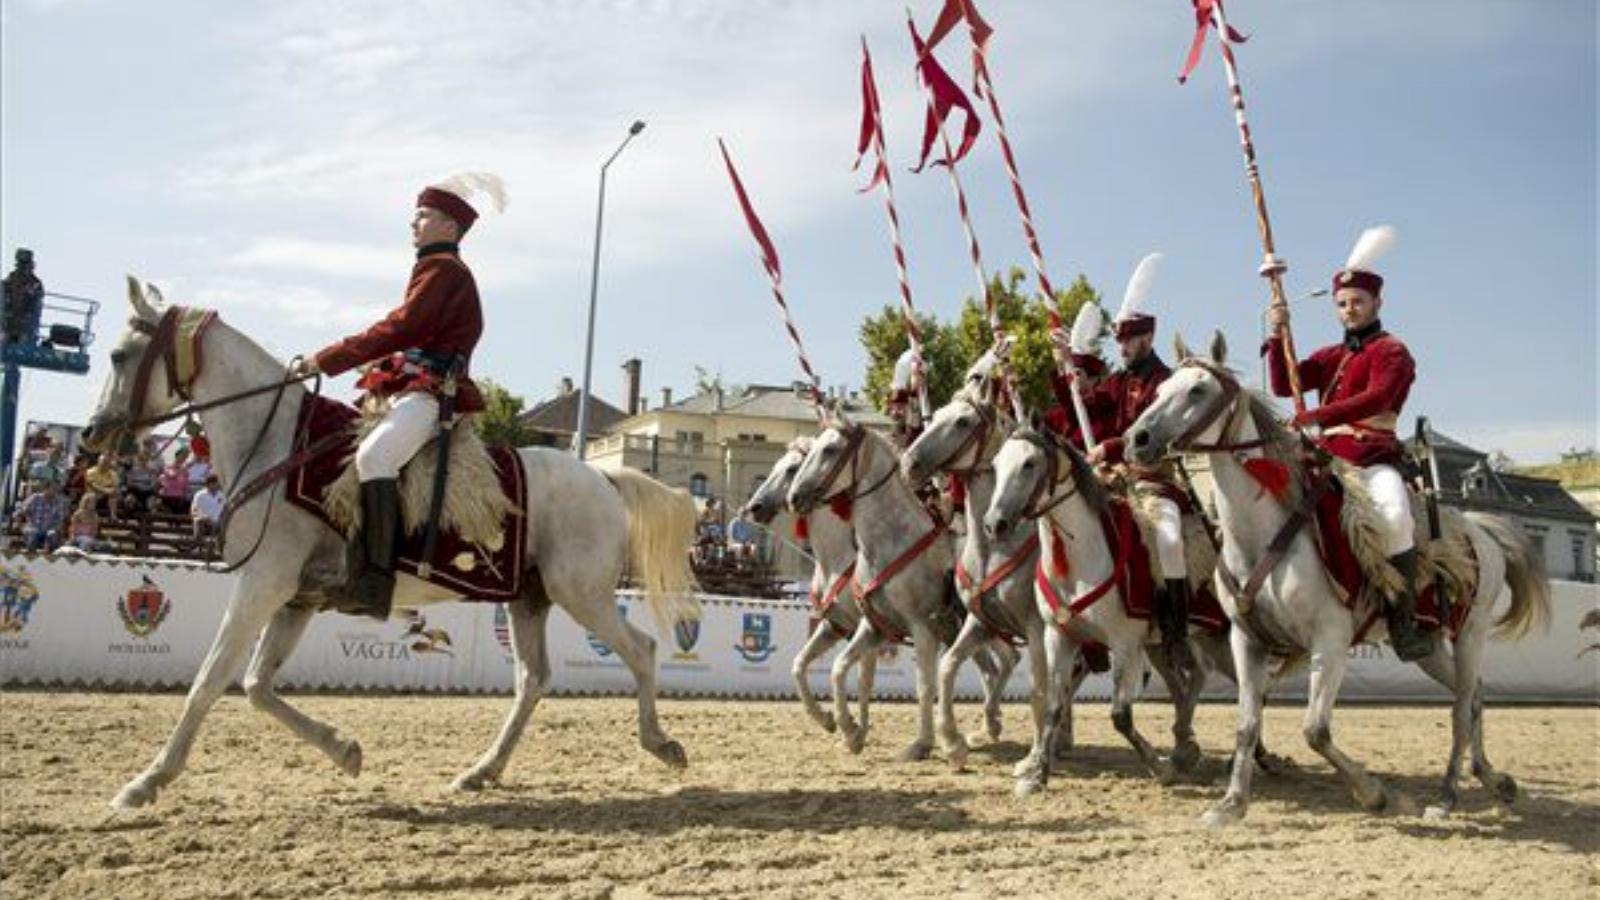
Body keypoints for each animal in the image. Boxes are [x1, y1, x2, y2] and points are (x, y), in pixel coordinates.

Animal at [79, 280, 694, 807]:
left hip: (581, 594)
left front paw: (146, 782)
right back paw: (482, 771)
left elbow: (210, 680)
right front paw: (345, 750)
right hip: (529, 599)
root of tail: (603, 478)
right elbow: (256, 684)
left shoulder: (263, 584)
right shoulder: (296, 598)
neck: (278, 443)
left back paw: (661, 744)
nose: (91, 434)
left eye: (117, 356)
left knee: (641, 650)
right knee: (532, 680)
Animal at [736, 435, 876, 736]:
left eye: (792, 469)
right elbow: (799, 666)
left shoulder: (872, 628)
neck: (838, 560)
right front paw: (827, 718)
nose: (755, 507)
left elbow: (864, 680)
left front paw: (855, 729)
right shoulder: (836, 625)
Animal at [784, 413, 1011, 755]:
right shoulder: (869, 627)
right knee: (996, 667)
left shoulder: (922, 628)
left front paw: (921, 743)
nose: (795, 497)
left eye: (830, 450)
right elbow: (837, 669)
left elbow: (923, 684)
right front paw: (846, 728)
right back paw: (987, 726)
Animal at [1126, 333, 1548, 826]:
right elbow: (1247, 724)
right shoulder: (1247, 641)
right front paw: (1231, 804)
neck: (1264, 536)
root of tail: (1477, 529)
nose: (1137, 440)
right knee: (1476, 695)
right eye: (1159, 390)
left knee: (1463, 707)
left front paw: (1377, 795)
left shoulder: (1329, 640)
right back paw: (1491, 779)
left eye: (1197, 390)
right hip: (1428, 647)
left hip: (1470, 634)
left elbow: (1316, 730)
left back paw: (1446, 795)